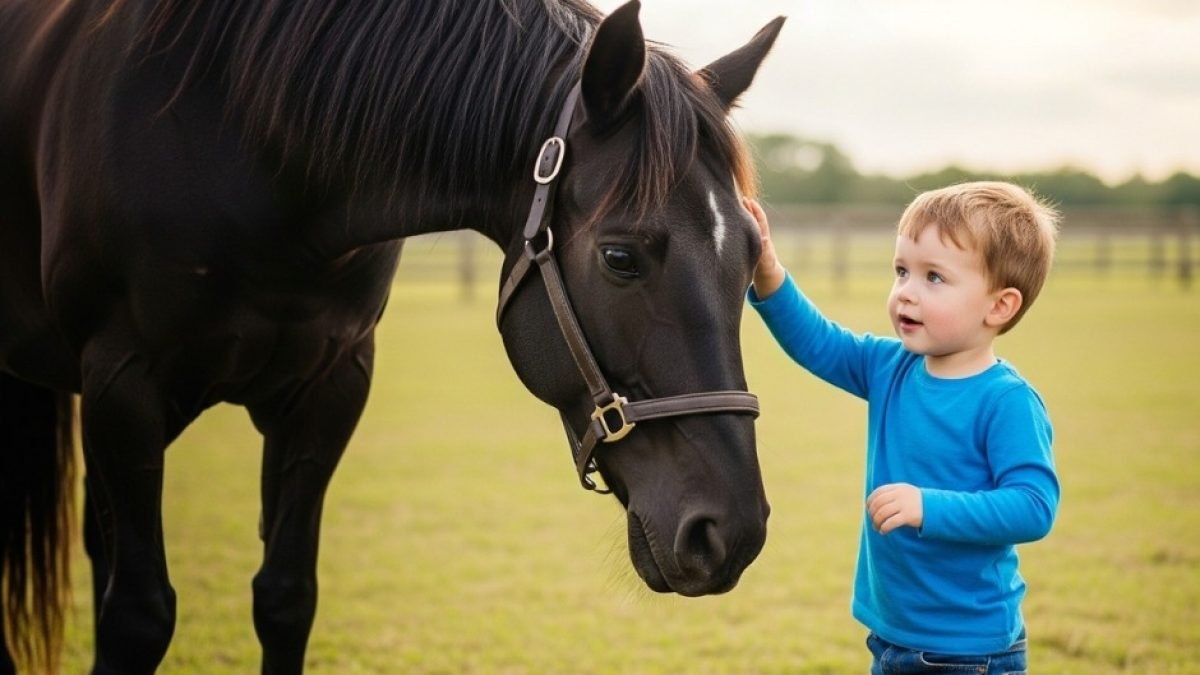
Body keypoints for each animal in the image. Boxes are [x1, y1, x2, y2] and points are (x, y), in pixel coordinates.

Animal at [0, 0, 784, 671]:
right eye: (621, 257)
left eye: (752, 258)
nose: (729, 532)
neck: (243, 134)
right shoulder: (123, 383)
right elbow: (137, 615)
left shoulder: (329, 387)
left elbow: (285, 598)